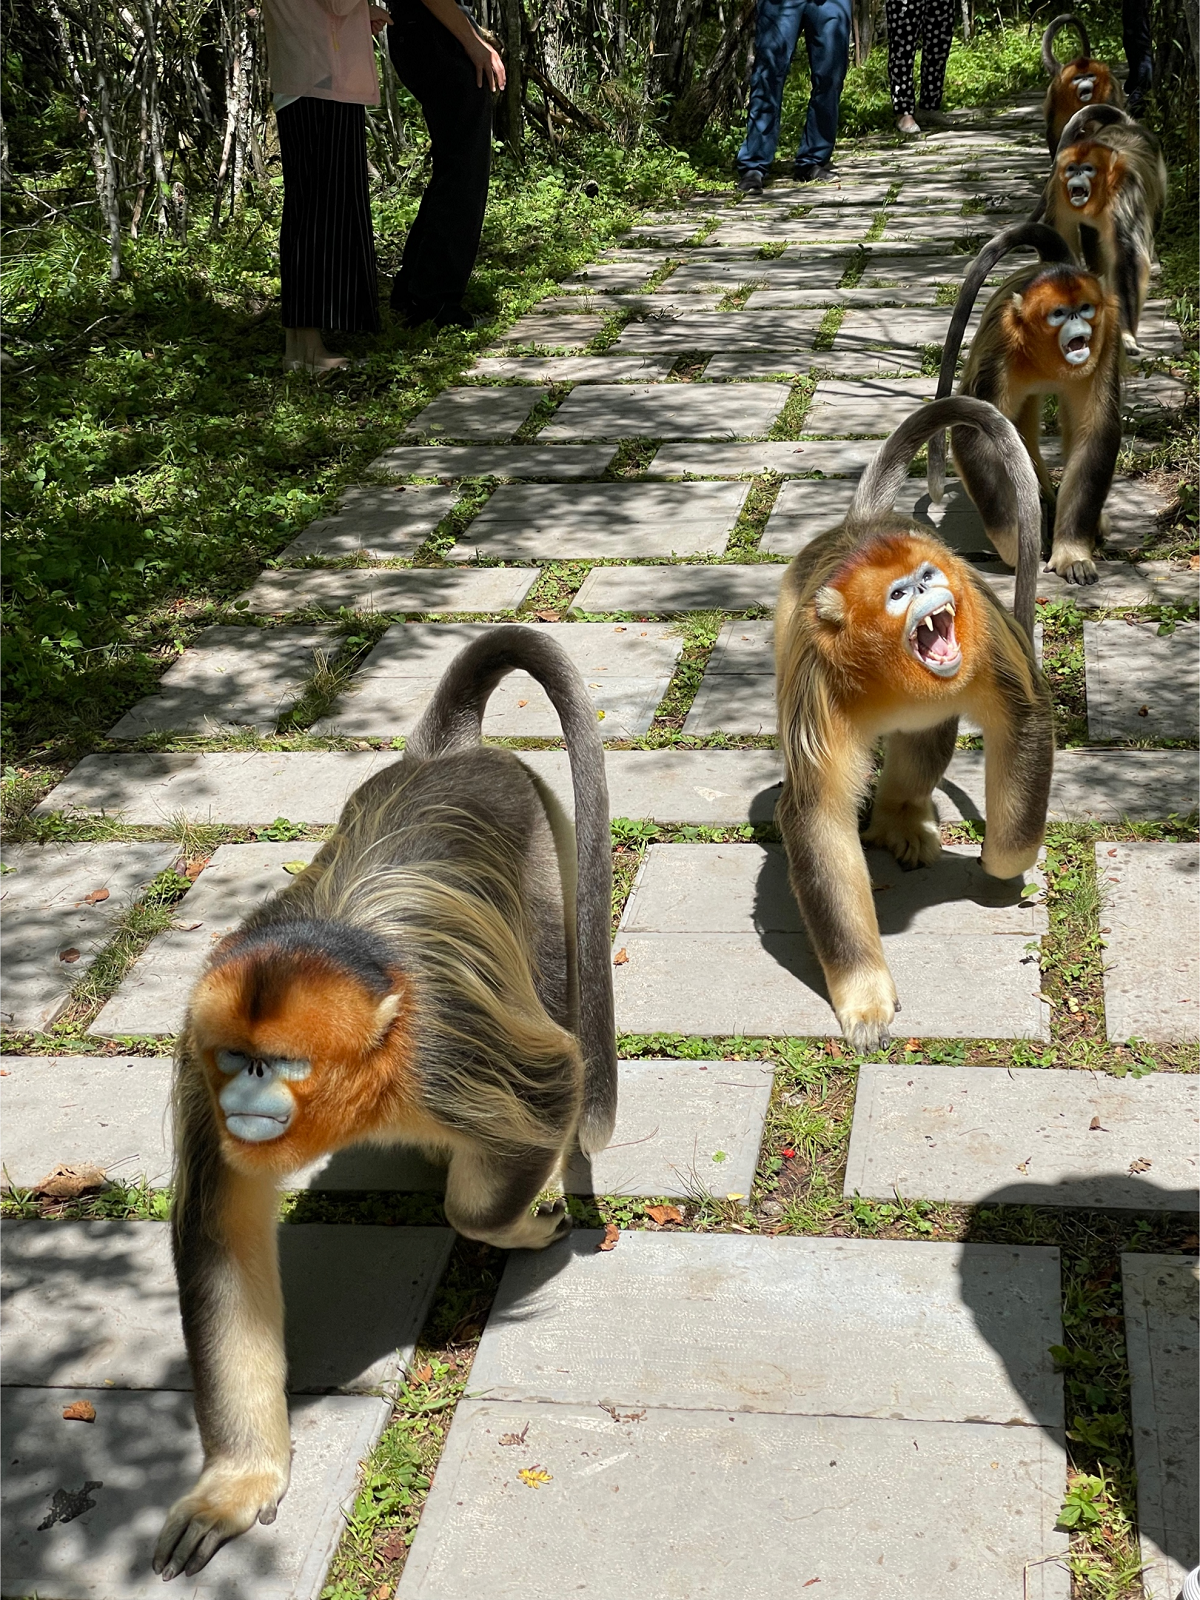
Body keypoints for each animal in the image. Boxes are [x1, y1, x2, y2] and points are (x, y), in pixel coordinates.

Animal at [153, 624, 614, 1574]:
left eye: (282, 1064)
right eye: (236, 1060)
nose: (246, 1097)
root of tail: (448, 755)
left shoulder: (447, 1051)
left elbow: (548, 1089)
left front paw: (516, 1220)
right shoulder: (194, 1069)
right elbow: (218, 1245)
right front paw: (237, 1483)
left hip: (541, 831)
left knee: (551, 979)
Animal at [780, 395, 1049, 1056]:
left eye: (928, 579)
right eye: (899, 594)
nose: (929, 592)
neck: (890, 673)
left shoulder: (982, 622)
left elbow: (1025, 720)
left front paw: (1002, 863)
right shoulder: (817, 678)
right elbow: (818, 816)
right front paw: (864, 996)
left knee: (927, 730)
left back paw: (901, 817)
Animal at [928, 217, 1126, 582]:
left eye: (1085, 309)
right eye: (1059, 313)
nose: (1078, 322)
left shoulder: (1107, 335)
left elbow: (1094, 433)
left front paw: (1072, 552)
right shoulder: (1002, 343)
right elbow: (977, 434)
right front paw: (1018, 547)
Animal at [1043, 14, 1126, 156]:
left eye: (1090, 76)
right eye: (1078, 78)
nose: (1085, 81)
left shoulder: (1109, 87)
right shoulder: (1057, 91)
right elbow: (1053, 130)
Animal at [1043, 106, 1164, 356]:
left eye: (1087, 169)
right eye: (1072, 169)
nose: (1076, 176)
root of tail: (1128, 124)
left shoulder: (1124, 196)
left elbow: (1129, 260)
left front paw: (1125, 335)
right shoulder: (1059, 190)